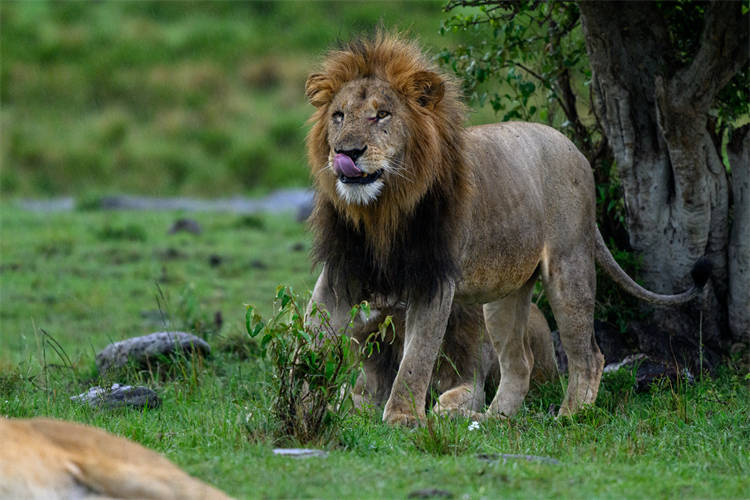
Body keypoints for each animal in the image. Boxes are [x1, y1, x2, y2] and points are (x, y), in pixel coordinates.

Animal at [302, 31, 712, 424]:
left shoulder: (434, 280)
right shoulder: (339, 273)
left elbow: (416, 357)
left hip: (569, 267)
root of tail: (574, 149)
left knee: (588, 356)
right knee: (519, 362)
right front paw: (305, 401)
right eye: (339, 115)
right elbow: (310, 339)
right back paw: (494, 419)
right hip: (505, 295)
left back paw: (569, 416)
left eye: (382, 115)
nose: (347, 152)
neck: (381, 211)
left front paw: (402, 417)